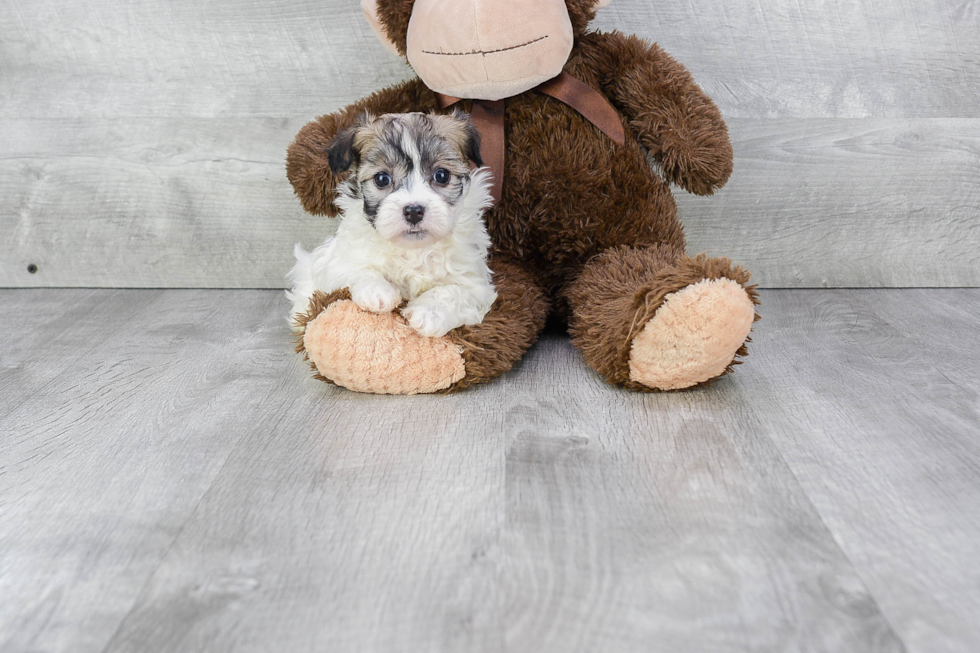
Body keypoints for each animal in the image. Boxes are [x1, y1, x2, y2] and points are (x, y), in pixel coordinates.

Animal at [286, 109, 498, 336]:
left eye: (442, 175)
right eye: (382, 179)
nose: (413, 211)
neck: (413, 249)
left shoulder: (476, 285)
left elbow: (455, 291)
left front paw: (429, 311)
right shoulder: (334, 264)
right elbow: (356, 268)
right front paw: (376, 290)